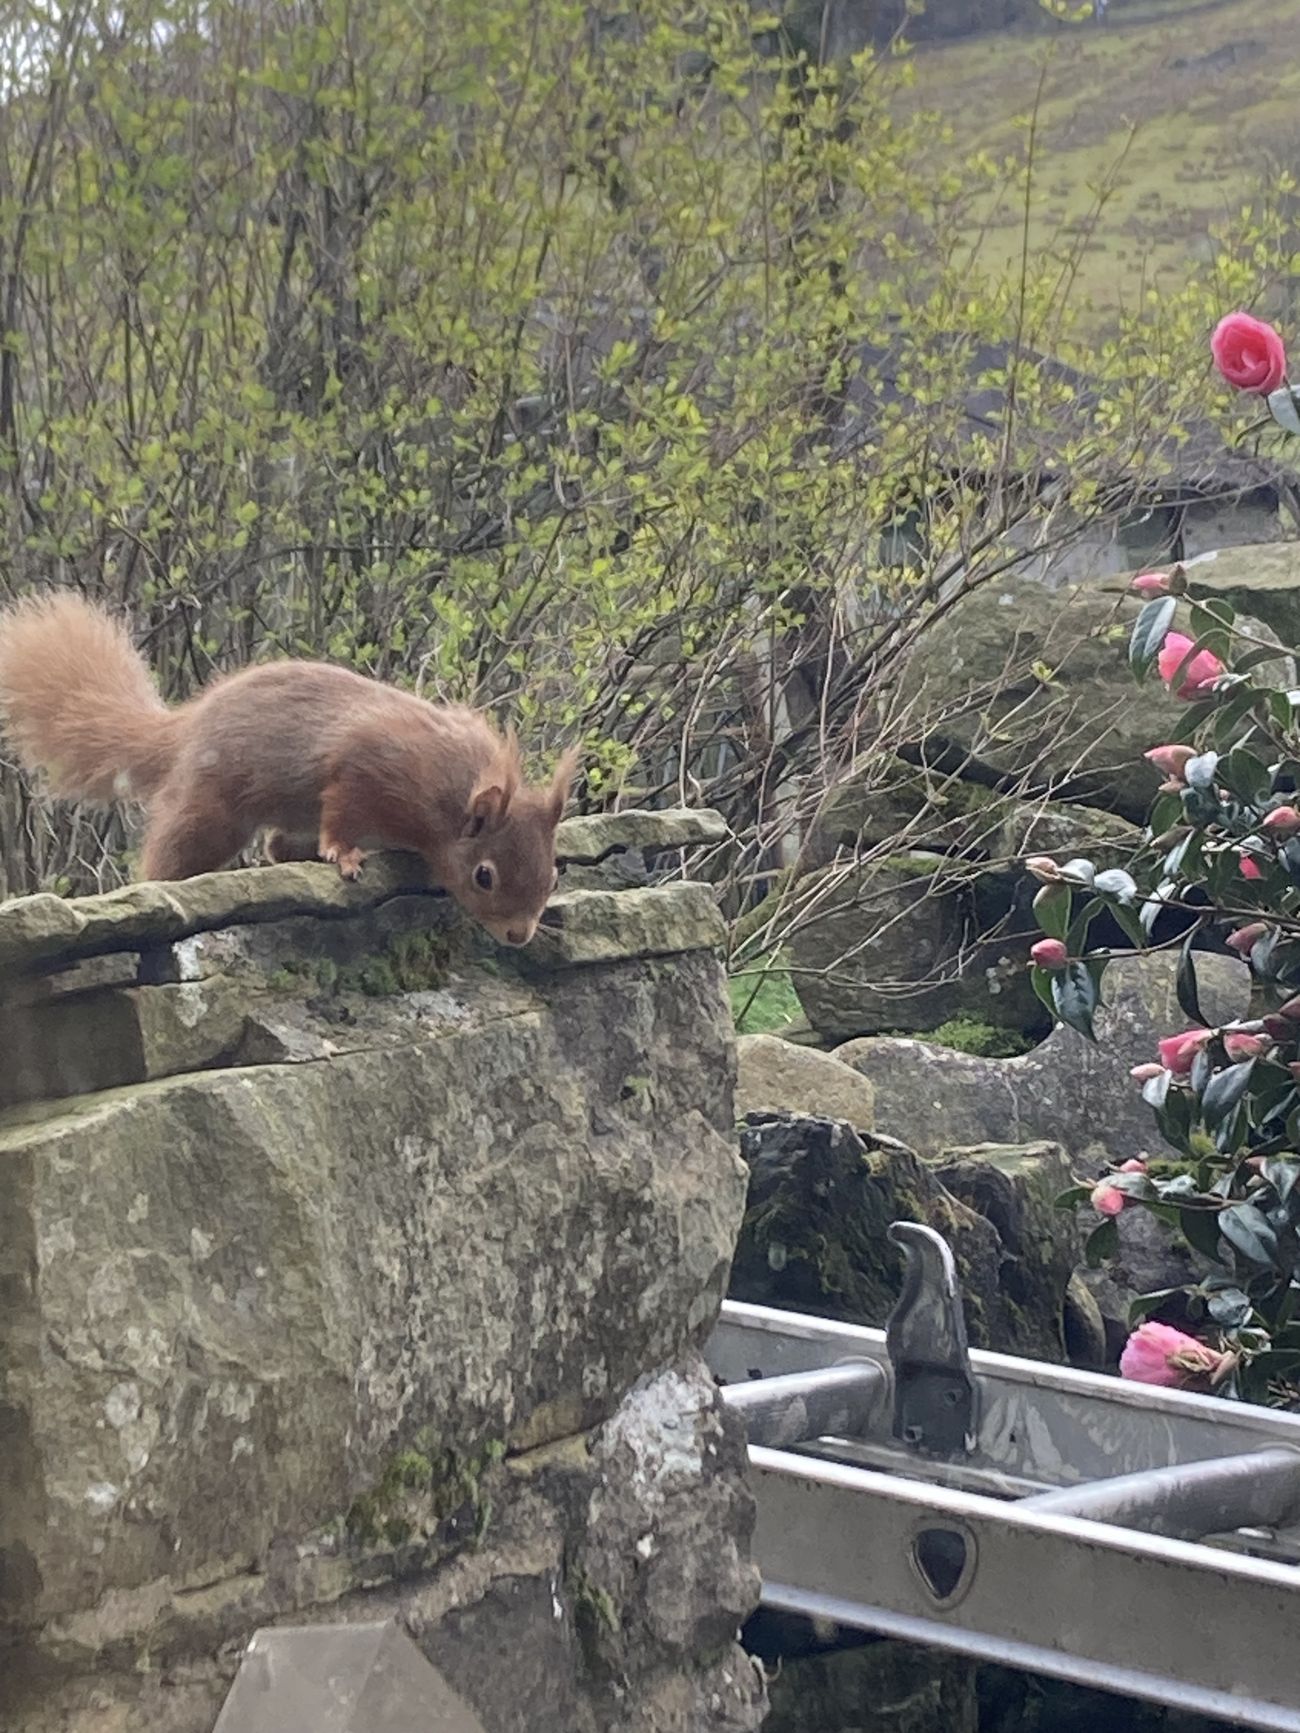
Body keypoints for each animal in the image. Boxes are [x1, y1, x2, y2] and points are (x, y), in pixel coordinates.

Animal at [0, 591, 578, 947]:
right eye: (484, 876)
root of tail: (184, 730)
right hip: (210, 806)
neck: (448, 793)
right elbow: (342, 813)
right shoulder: (365, 766)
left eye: (554, 873)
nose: (520, 935)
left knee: (278, 846)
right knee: (175, 853)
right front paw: (345, 855)